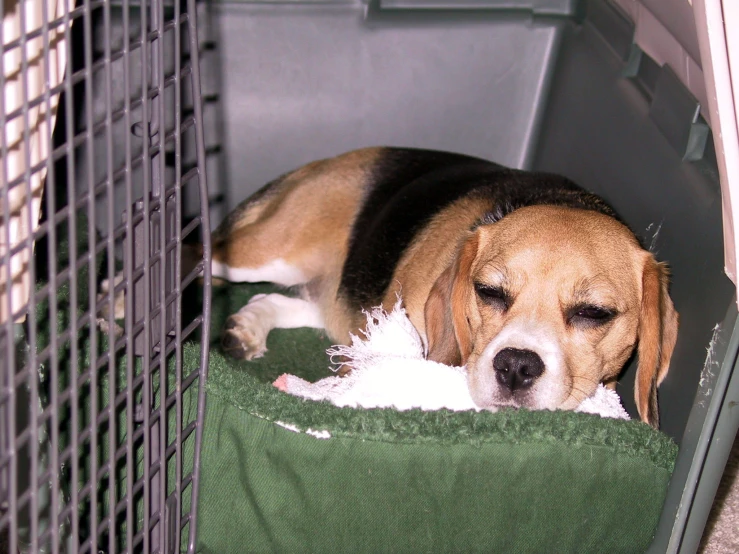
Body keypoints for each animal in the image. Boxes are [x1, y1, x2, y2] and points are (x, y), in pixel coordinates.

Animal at [211, 144, 680, 424]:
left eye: (593, 313)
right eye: (488, 291)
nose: (515, 367)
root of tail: (331, 161)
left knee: (279, 299)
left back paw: (248, 327)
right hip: (265, 253)